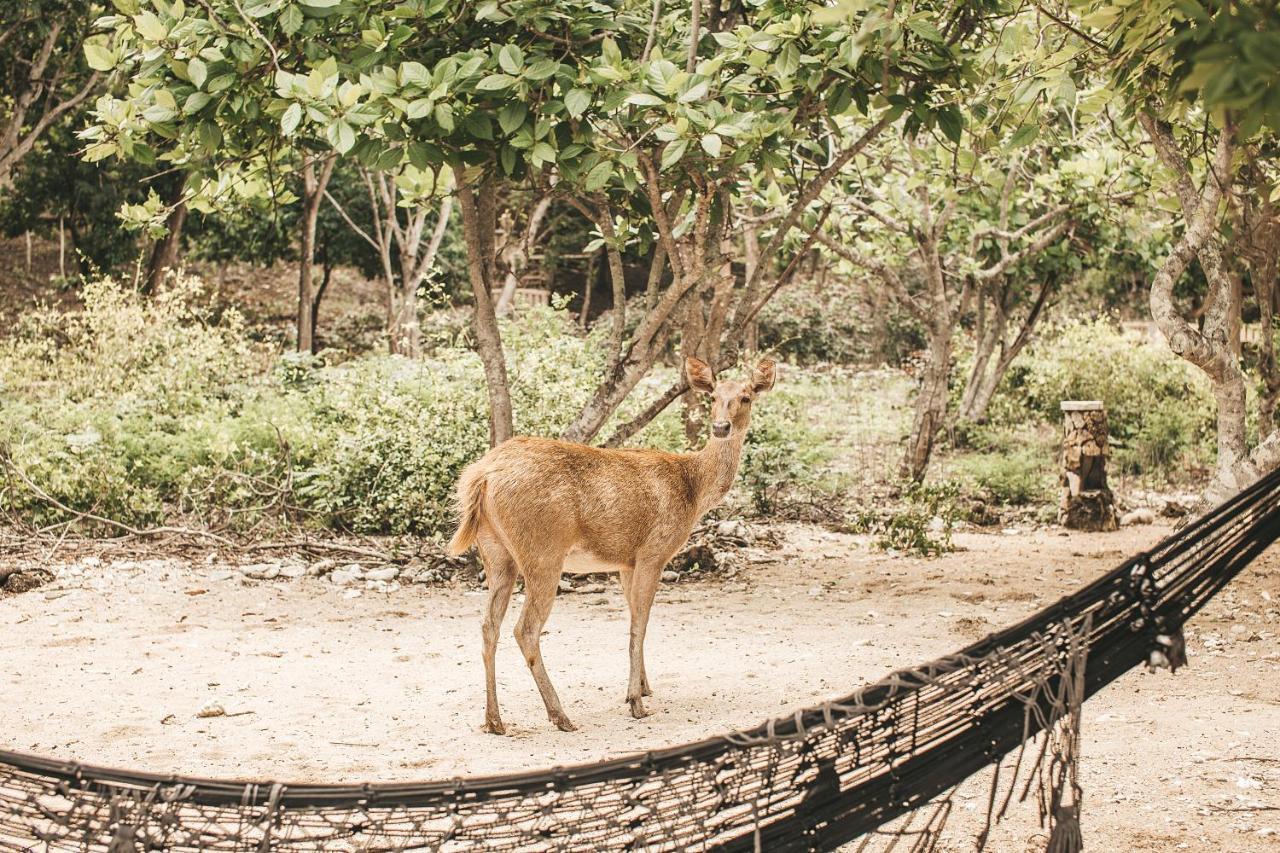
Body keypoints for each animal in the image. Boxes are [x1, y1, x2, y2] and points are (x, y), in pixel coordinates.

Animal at [445, 353, 773, 732]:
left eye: (745, 396)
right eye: (714, 396)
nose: (721, 427)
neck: (693, 490)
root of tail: (480, 477)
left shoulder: (626, 562)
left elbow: (634, 617)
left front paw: (644, 687)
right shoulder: (653, 551)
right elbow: (639, 624)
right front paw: (635, 702)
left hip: (496, 553)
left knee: (488, 626)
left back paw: (494, 720)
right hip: (542, 551)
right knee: (525, 629)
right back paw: (560, 715)